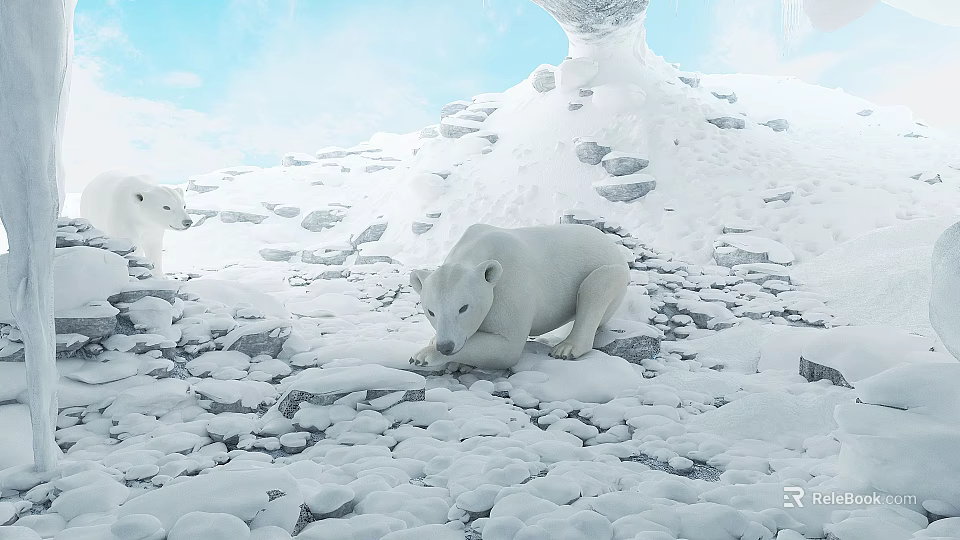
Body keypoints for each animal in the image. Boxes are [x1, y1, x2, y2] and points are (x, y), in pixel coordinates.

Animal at [409, 223, 631, 370]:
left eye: (463, 308)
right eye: (431, 311)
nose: (446, 346)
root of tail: (610, 242)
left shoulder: (510, 286)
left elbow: (507, 347)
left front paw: (423, 355)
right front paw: (433, 343)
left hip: (611, 271)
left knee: (597, 284)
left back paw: (566, 348)